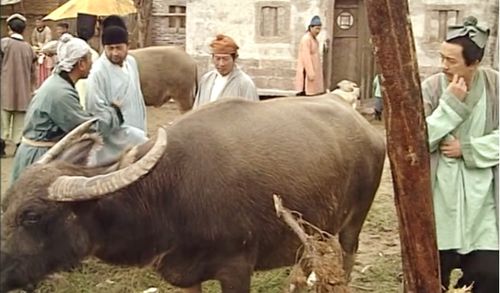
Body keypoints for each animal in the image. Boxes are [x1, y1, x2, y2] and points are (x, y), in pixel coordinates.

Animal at [0, 94, 384, 290]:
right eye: (6, 206)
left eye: (32, 216)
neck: (167, 194)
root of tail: (367, 130)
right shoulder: (183, 274)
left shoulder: (235, 270)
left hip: (353, 224)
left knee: (347, 255)